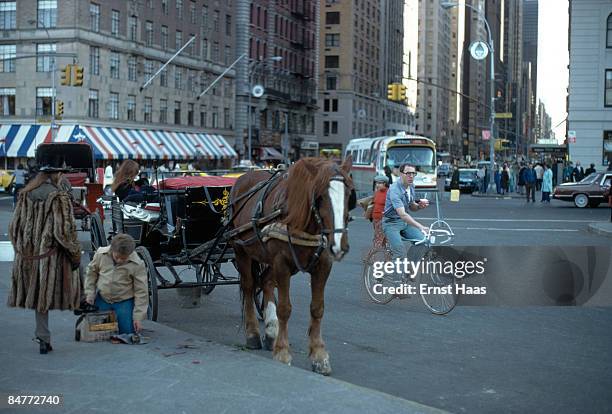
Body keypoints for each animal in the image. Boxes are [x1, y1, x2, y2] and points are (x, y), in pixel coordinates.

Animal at [230, 156, 354, 376]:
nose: (339, 245)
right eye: (320, 196)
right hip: (241, 249)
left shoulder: (323, 265)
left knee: (266, 283)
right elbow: (285, 308)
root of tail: (243, 176)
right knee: (249, 286)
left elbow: (317, 308)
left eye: (349, 194)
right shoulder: (282, 263)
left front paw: (318, 355)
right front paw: (282, 352)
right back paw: (252, 333)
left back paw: (271, 330)